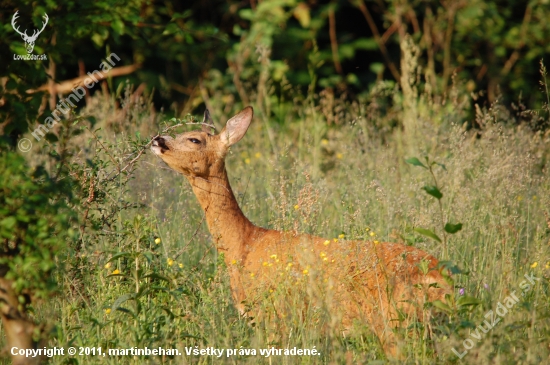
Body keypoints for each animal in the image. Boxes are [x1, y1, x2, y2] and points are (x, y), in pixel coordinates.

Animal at [152, 106, 452, 356]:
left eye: (194, 140)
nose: (157, 139)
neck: (245, 246)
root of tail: (444, 277)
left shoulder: (274, 317)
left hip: (394, 323)